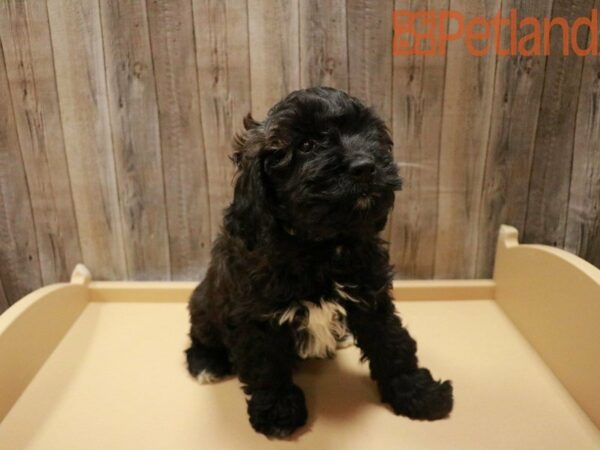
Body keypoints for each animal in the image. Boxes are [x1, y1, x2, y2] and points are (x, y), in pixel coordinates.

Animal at [185, 87, 452, 436]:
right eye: (306, 146)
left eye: (367, 134)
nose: (365, 166)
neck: (321, 245)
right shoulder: (254, 316)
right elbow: (265, 364)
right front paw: (277, 412)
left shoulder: (372, 296)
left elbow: (393, 344)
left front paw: (418, 393)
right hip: (204, 302)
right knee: (200, 333)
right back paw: (205, 362)